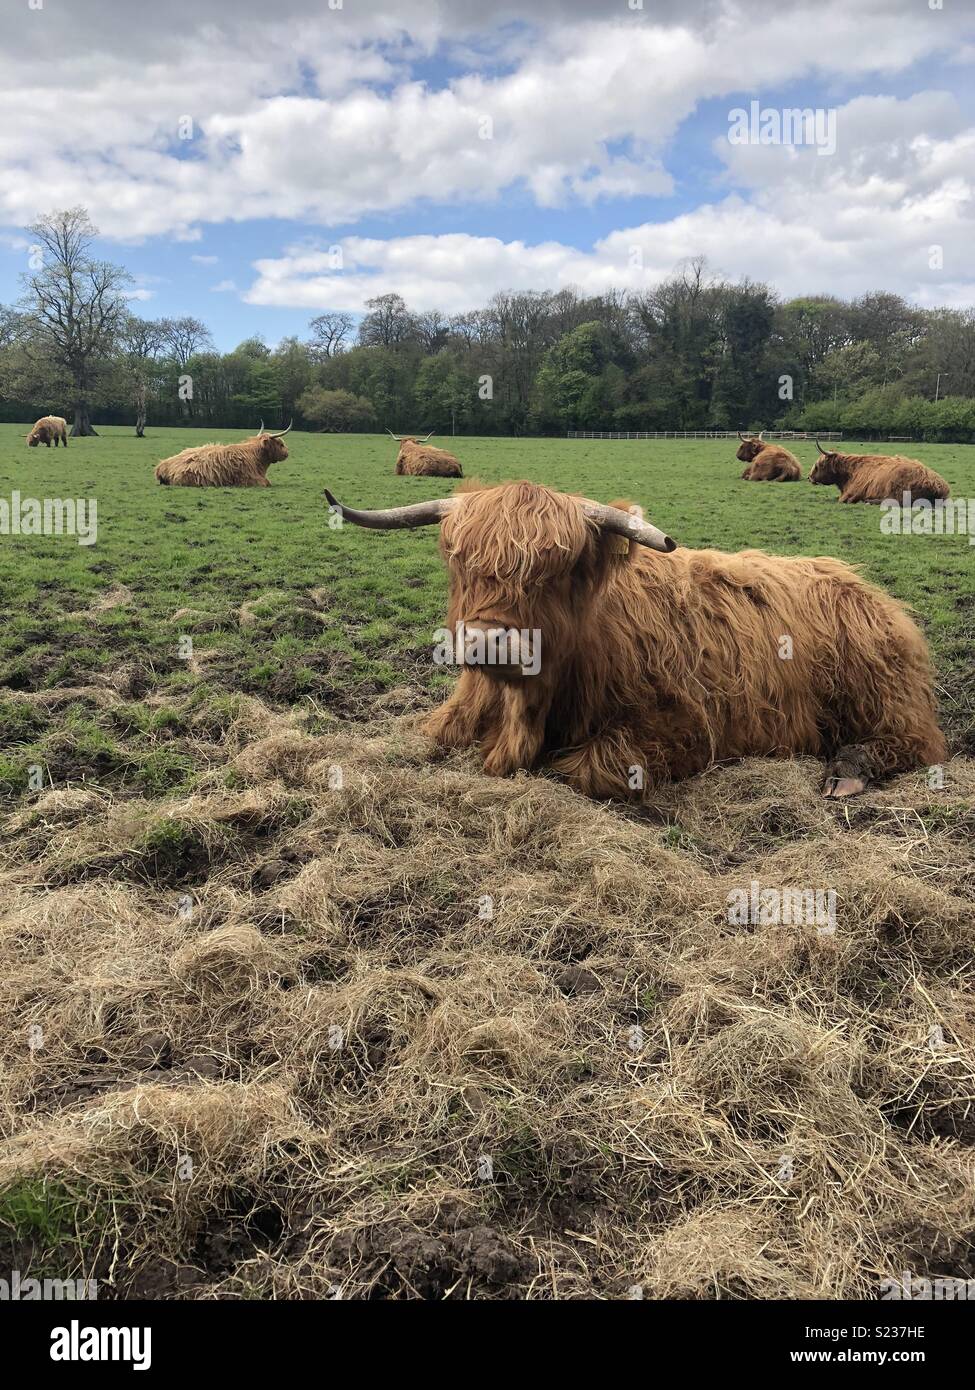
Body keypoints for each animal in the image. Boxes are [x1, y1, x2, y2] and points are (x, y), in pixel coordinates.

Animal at [324, 480, 946, 801]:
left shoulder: (685, 729)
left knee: (915, 741)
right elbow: (427, 735)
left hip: (881, 693)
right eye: (459, 559)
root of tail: (863, 584)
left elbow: (580, 767)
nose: (488, 643)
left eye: (560, 567)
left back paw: (848, 770)